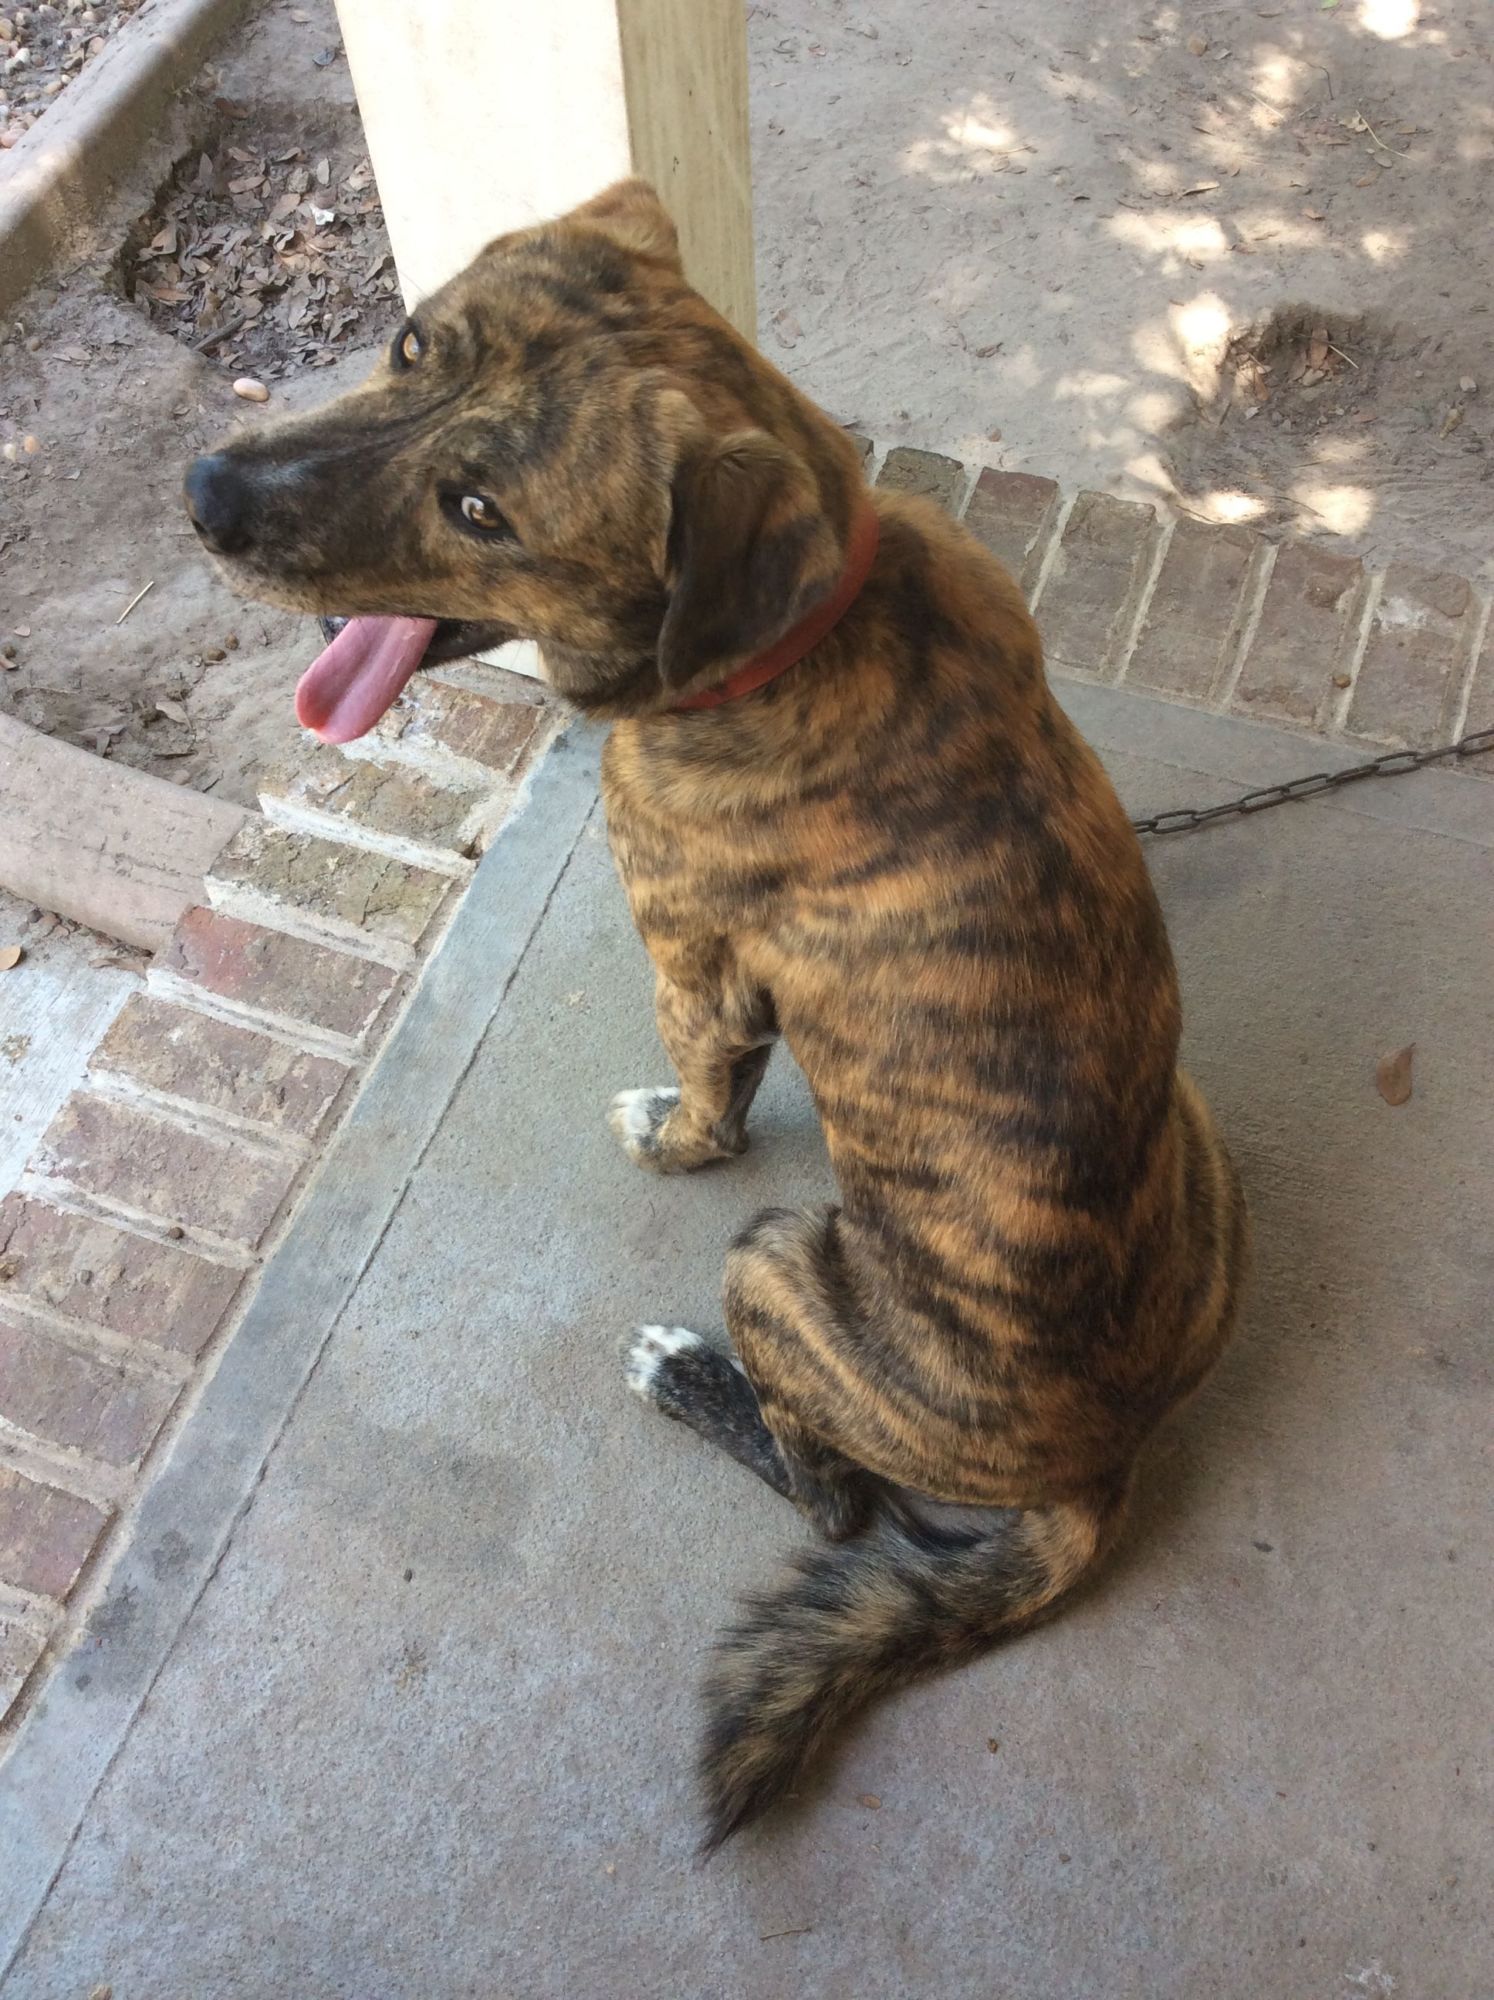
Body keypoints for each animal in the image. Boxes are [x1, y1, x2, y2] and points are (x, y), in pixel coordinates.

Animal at [184, 179, 1248, 1852]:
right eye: (410, 342)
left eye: (481, 512)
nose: (204, 491)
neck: (797, 626)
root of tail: (1106, 1462)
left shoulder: (693, 958)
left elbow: (707, 1100)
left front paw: (669, 1135)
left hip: (777, 1267)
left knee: (837, 1497)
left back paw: (688, 1378)